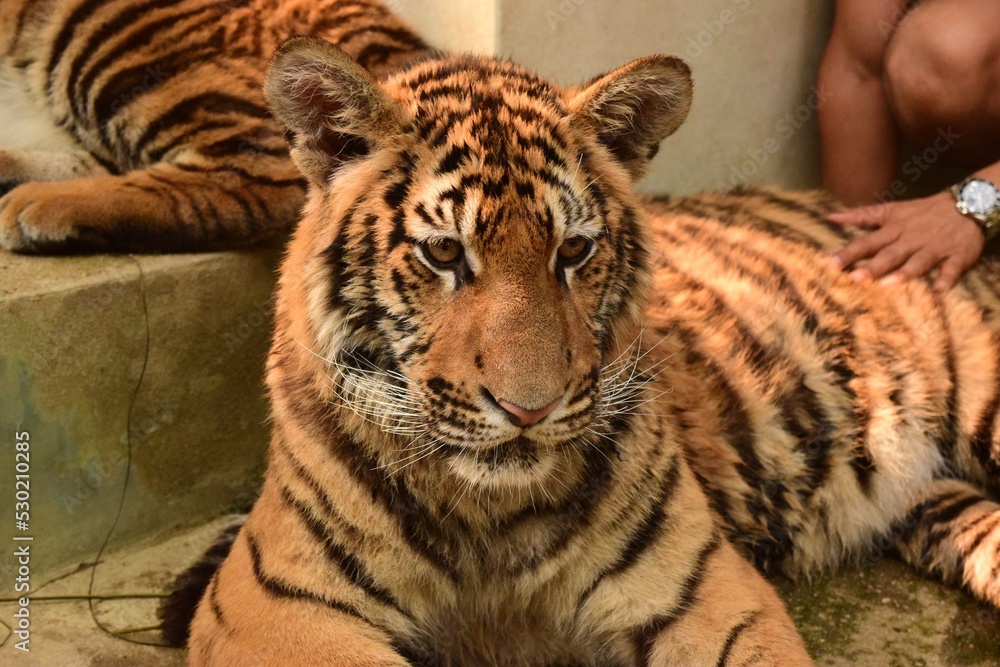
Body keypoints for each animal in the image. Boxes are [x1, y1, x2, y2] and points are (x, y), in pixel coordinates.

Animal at [158, 36, 1000, 666]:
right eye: (443, 253)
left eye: (574, 250)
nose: (529, 409)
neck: (486, 517)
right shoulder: (275, 606)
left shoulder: (705, 591)